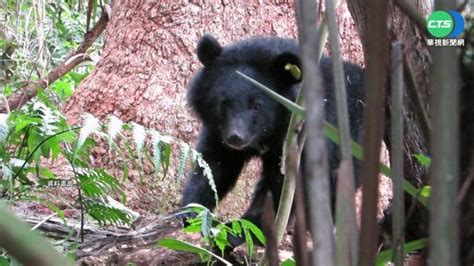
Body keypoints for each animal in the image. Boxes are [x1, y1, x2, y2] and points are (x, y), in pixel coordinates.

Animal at [182, 33, 366, 245]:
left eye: (256, 106)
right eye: (223, 103)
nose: (235, 137)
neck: (268, 135)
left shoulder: (303, 142)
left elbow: (284, 189)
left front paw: (237, 231)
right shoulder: (218, 132)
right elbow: (214, 167)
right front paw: (191, 212)